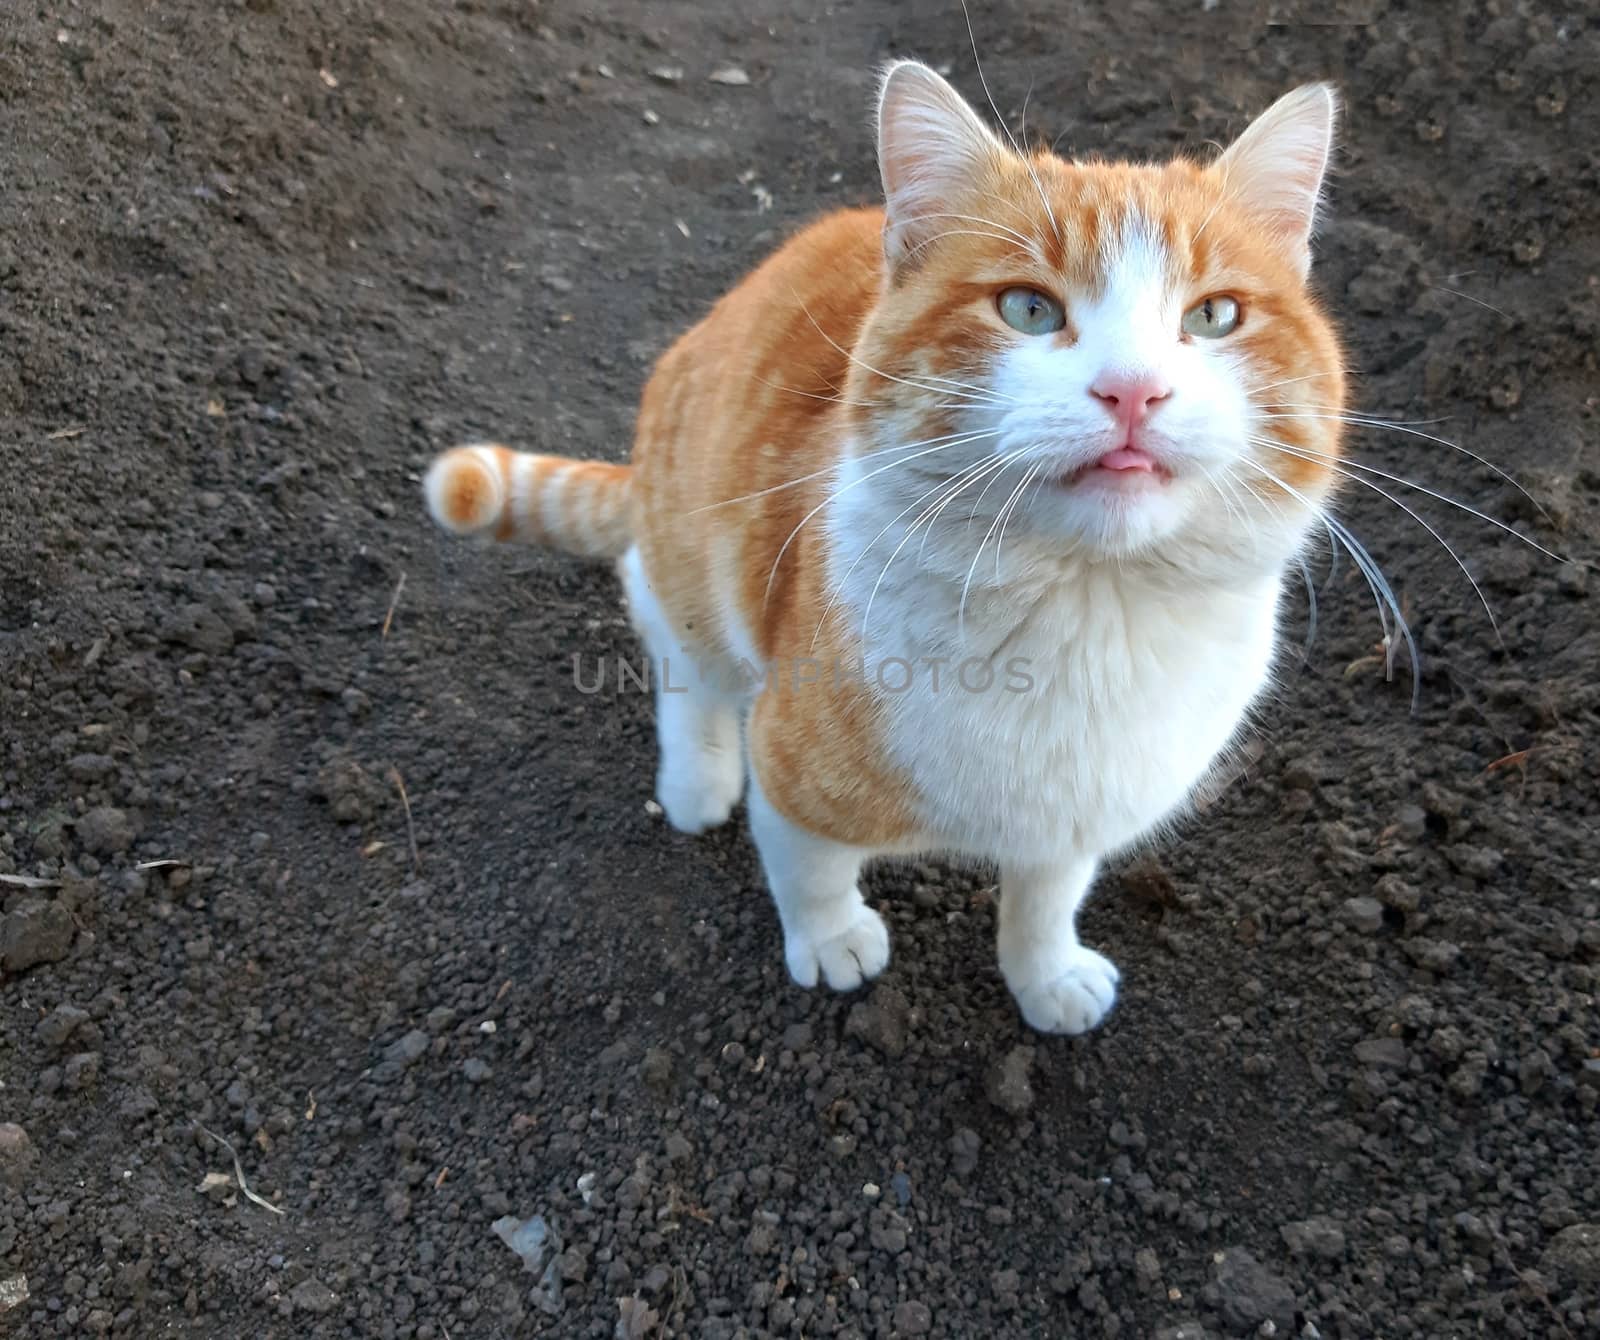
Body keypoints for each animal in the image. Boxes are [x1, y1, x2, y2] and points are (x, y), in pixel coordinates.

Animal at [428, 63, 1350, 1036]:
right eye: (1028, 308)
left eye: (1214, 317)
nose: (1133, 389)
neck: (1086, 611)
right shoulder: (790, 767)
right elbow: (810, 868)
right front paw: (833, 941)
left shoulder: (1076, 817)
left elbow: (1049, 894)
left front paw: (1047, 973)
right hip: (690, 546)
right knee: (676, 639)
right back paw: (695, 779)